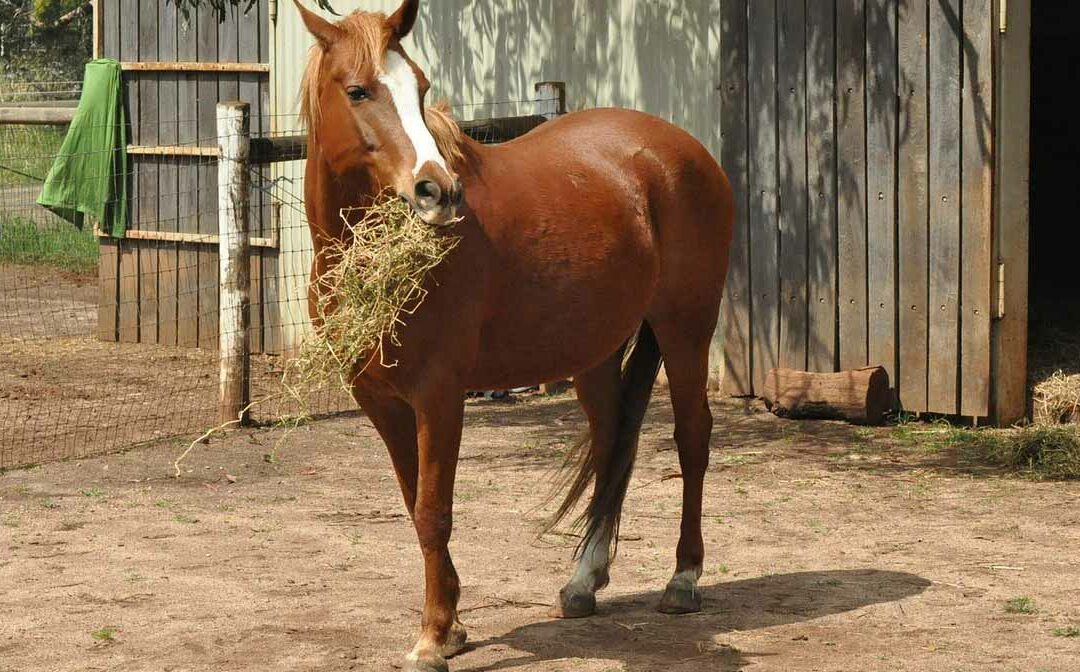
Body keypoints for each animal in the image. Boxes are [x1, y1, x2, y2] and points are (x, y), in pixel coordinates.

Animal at [293, 1, 734, 670]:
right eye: (358, 90)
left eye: (421, 87)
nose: (436, 190)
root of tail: (683, 150)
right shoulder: (380, 402)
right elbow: (413, 503)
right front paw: (451, 625)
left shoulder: (439, 396)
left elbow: (433, 512)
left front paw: (433, 637)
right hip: (595, 353)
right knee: (613, 444)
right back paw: (584, 581)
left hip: (686, 331)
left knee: (692, 440)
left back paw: (683, 579)